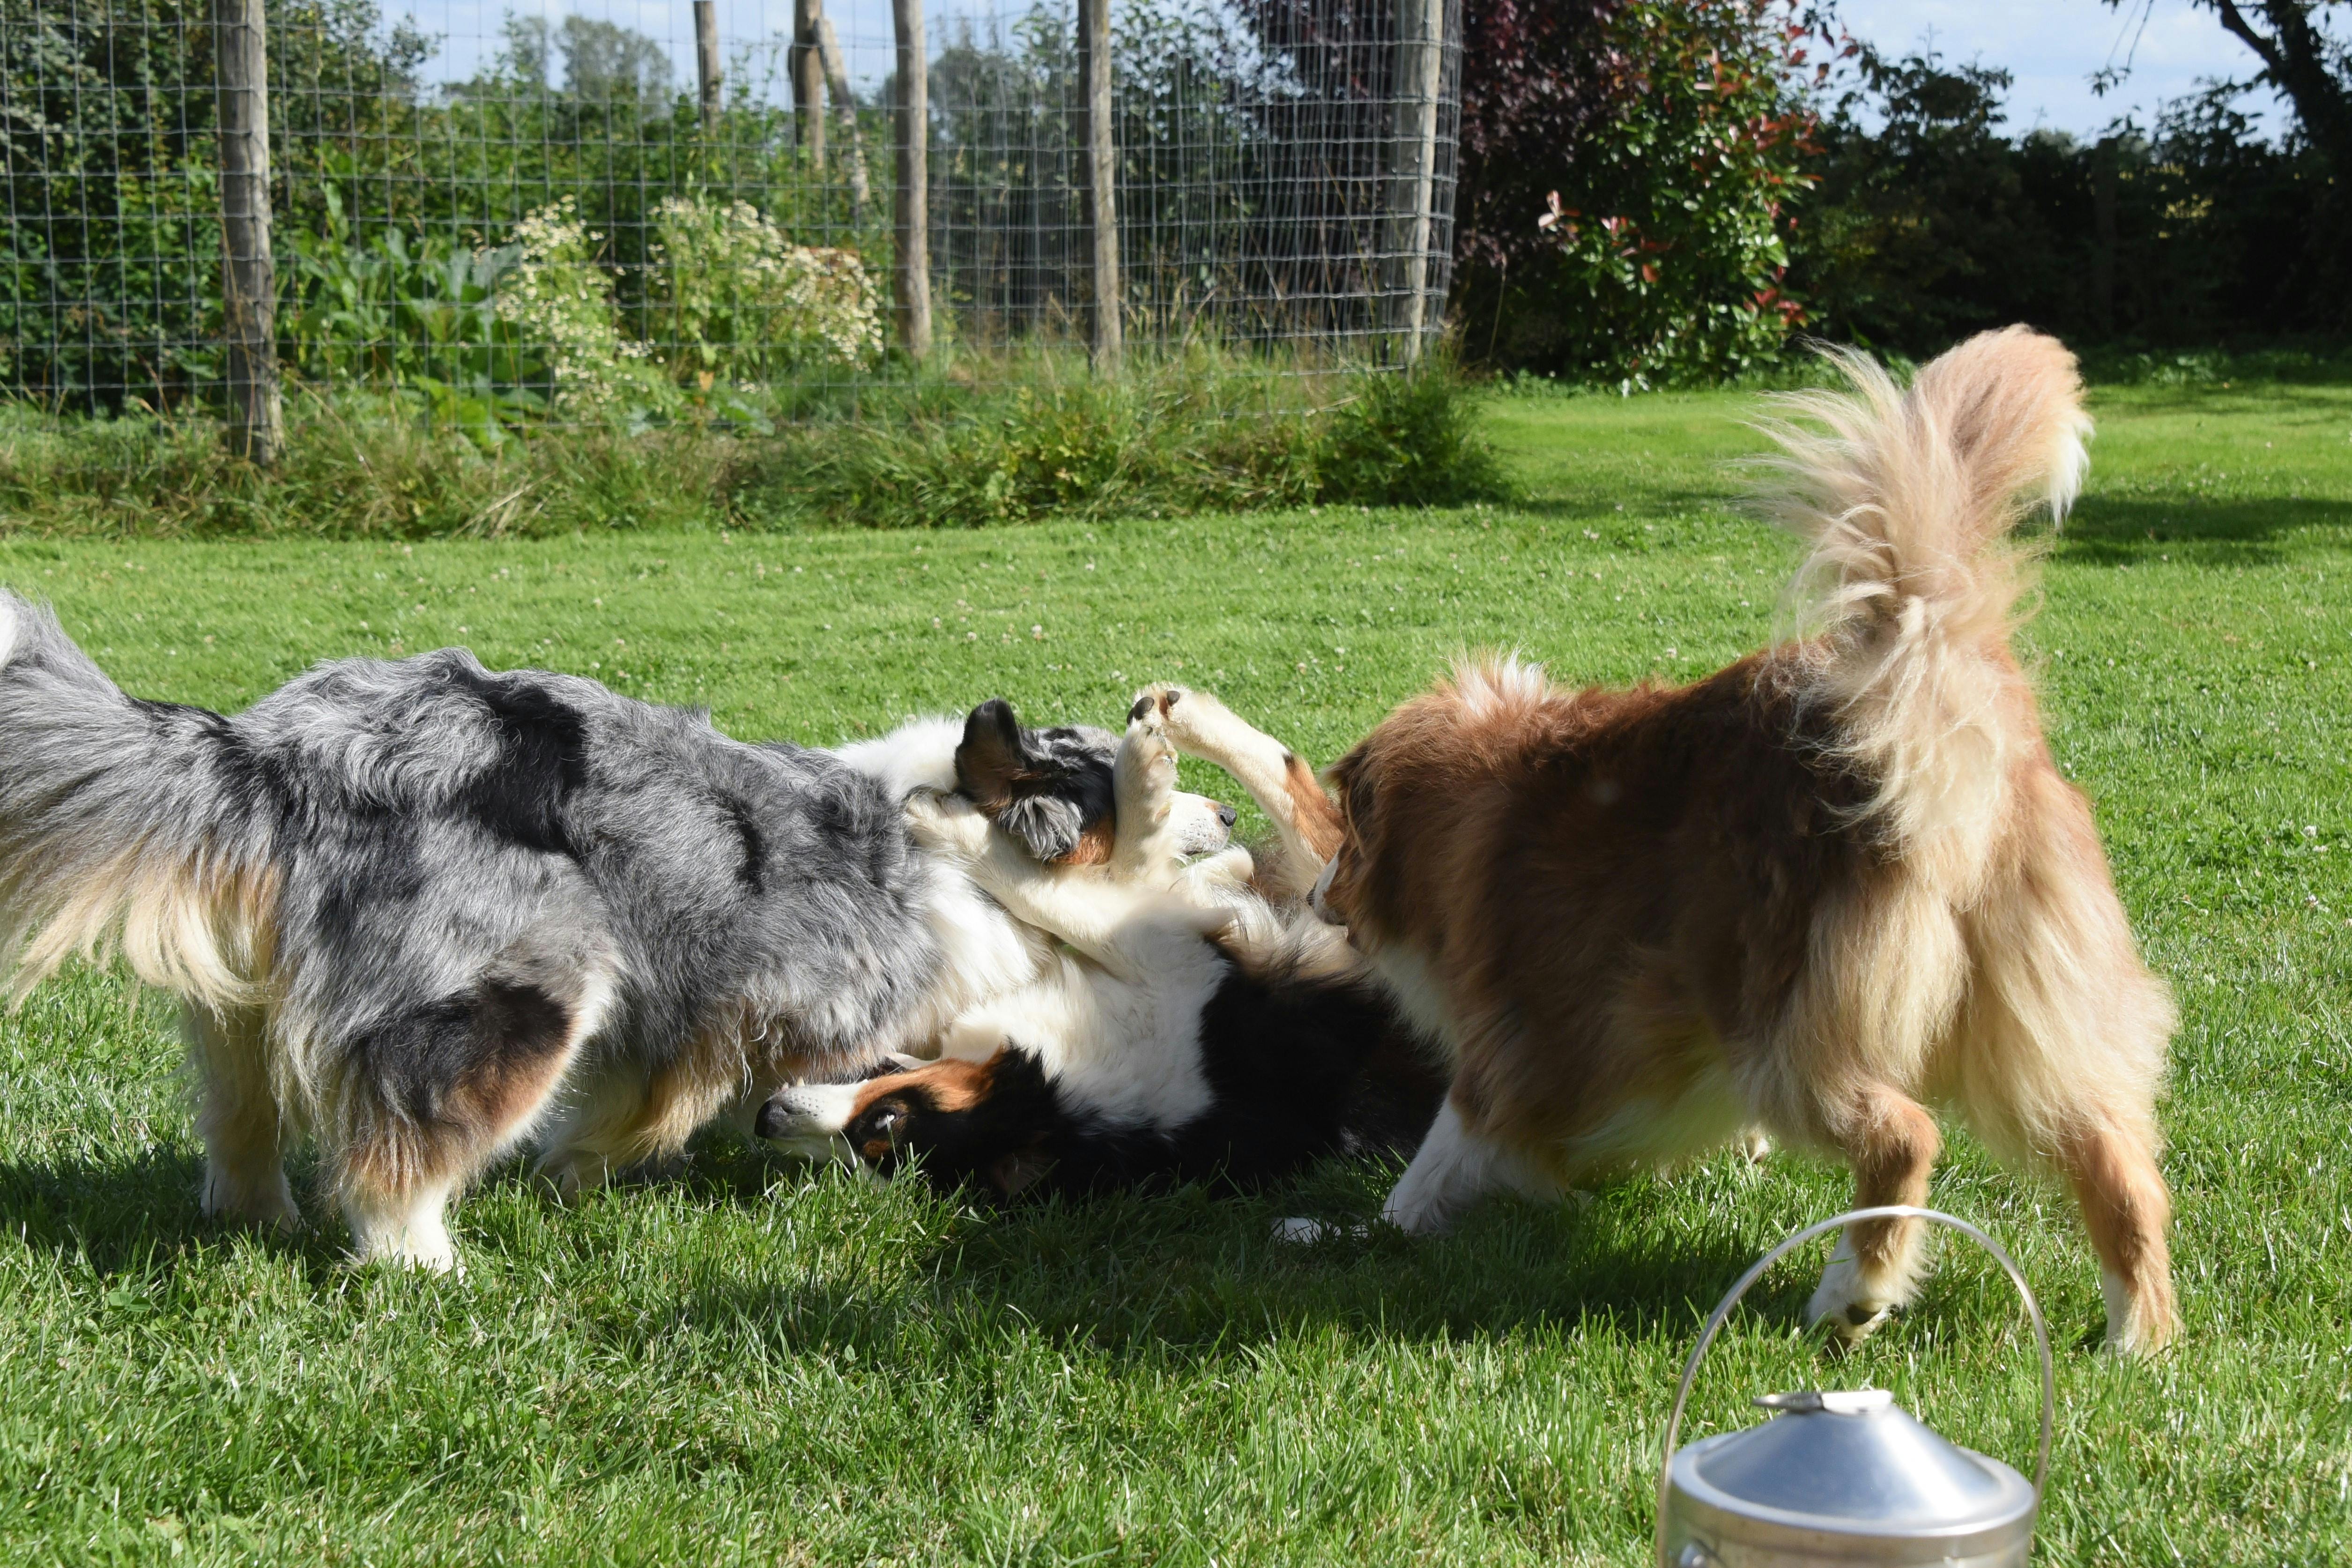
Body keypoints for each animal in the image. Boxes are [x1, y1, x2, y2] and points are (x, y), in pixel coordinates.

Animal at [0, 592, 1232, 1278]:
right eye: (1144, 797)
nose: (1225, 816)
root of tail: (281, 747)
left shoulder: (690, 1011)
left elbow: (637, 1114)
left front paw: (578, 1180)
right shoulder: (801, 1002)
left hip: (243, 1005)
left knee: (242, 1116)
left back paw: (258, 1216)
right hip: (524, 985)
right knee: (402, 1147)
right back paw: (424, 1267)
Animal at [762, 691, 1439, 1204]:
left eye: (883, 1125)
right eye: (873, 1141)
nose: (765, 1118)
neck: (1058, 1081)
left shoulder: (1169, 952)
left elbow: (1072, 887)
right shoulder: (1164, 946)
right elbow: (1095, 881)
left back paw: (1178, 713)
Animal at [1317, 329, 2173, 1354]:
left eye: (1342, 841)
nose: (1318, 898)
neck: (1463, 790)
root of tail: (1942, 687)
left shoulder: (1504, 1046)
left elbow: (1439, 1155)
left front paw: (1367, 1229)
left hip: (1776, 1016)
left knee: (1904, 1135)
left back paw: (1851, 1294)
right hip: (2030, 1010)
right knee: (2116, 1156)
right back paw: (2135, 1338)